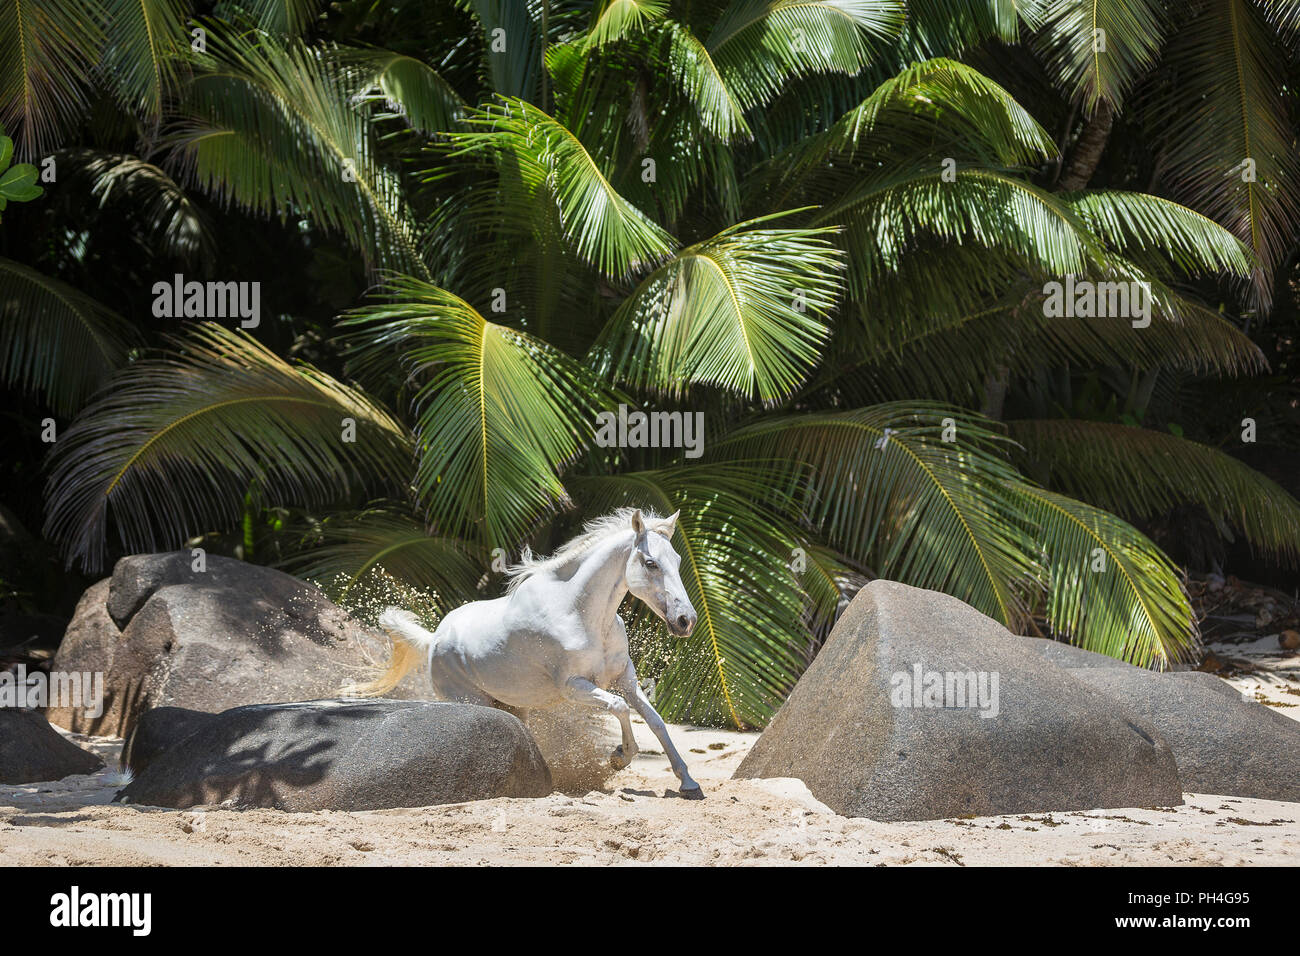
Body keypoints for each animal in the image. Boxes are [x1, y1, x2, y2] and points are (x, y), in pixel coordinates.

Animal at [351, 512, 707, 796]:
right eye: (650, 563)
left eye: (677, 560)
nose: (686, 621)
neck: (580, 614)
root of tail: (433, 640)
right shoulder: (574, 686)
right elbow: (619, 707)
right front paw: (619, 757)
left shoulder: (626, 679)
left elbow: (656, 722)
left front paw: (688, 784)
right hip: (472, 701)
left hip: (513, 706)